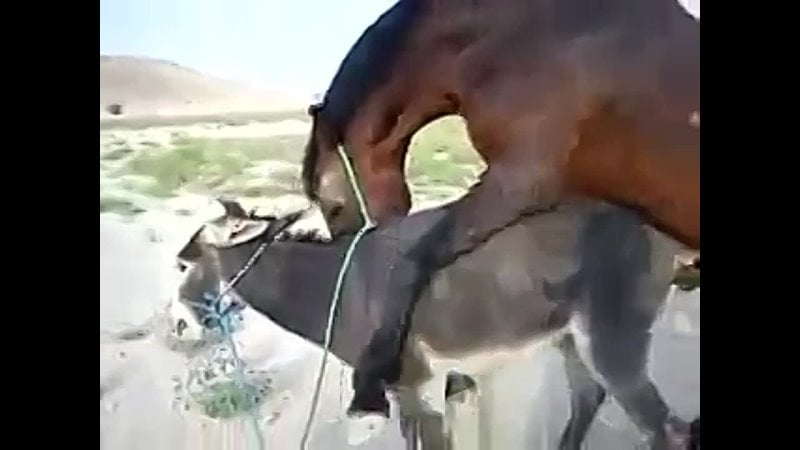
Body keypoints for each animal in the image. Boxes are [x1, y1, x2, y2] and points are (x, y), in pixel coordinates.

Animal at [175, 198, 696, 449]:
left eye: (182, 264)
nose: (178, 328)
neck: (335, 286)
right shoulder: (422, 390)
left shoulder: (420, 387)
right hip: (570, 338)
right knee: (587, 399)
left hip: (612, 340)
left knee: (665, 431)